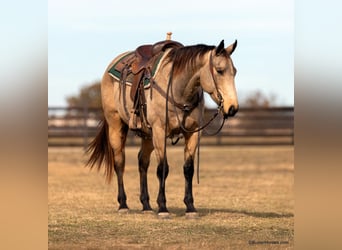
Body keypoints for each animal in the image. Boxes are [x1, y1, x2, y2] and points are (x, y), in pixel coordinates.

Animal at [87, 38, 239, 218]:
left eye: (234, 72)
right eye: (220, 70)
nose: (232, 108)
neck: (178, 90)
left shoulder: (193, 133)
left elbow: (188, 169)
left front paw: (190, 207)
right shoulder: (160, 132)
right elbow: (162, 169)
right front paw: (163, 208)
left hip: (147, 135)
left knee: (142, 162)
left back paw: (146, 205)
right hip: (116, 126)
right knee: (119, 163)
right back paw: (123, 204)